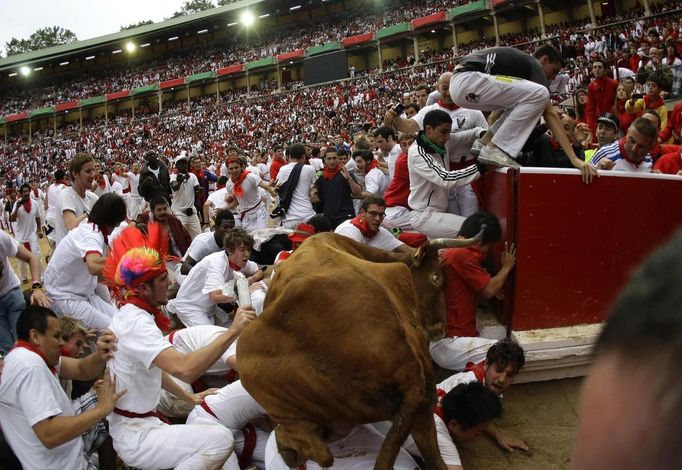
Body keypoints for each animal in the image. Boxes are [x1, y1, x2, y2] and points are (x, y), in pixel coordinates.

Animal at [239, 231, 484, 470]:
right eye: (436, 278)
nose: (441, 330)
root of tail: (409, 371)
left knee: (317, 450)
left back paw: (287, 448)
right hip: (424, 410)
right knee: (434, 458)